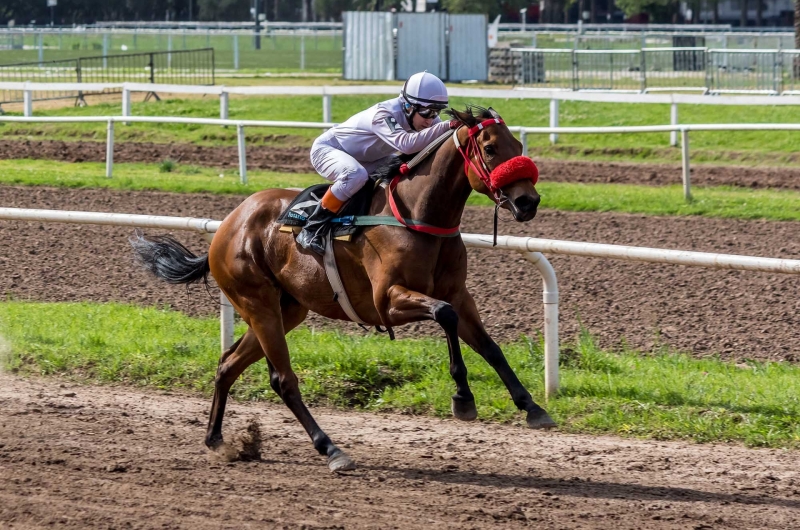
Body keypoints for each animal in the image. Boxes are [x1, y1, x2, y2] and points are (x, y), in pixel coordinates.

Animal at [131, 104, 556, 470]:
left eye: (518, 147)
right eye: (490, 147)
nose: (528, 202)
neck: (417, 216)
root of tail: (228, 223)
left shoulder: (459, 294)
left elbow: (489, 345)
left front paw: (532, 407)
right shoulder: (388, 301)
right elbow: (444, 315)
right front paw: (463, 397)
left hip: (287, 309)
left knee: (227, 363)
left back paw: (217, 439)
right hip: (258, 304)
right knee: (283, 380)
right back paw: (331, 448)